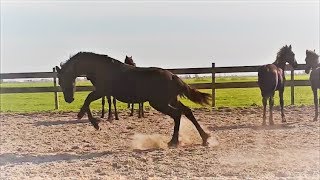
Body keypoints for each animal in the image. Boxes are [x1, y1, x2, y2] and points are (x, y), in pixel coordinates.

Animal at [55, 51, 210, 146]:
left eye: (63, 79)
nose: (69, 99)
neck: (101, 68)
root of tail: (172, 76)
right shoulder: (104, 92)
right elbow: (89, 101)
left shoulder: (102, 91)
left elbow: (87, 99)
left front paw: (93, 122)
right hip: (170, 100)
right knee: (187, 111)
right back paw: (205, 138)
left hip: (159, 103)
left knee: (177, 114)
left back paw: (173, 142)